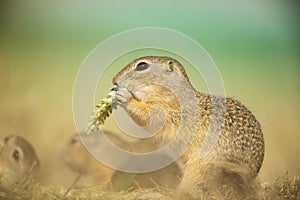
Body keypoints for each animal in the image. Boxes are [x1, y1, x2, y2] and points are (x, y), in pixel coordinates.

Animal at [112, 56, 264, 198]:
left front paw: (124, 96)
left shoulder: (166, 111)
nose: (114, 81)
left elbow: (147, 115)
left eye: (142, 65)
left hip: (201, 167)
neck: (172, 93)